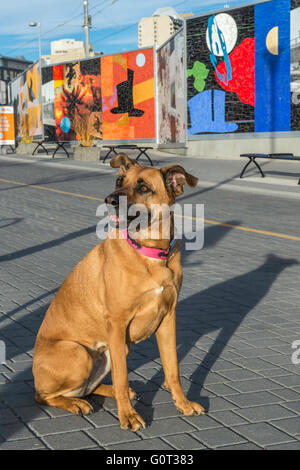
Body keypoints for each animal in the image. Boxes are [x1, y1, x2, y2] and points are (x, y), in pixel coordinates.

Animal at [32, 153, 205, 430]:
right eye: (119, 181)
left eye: (144, 188)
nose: (110, 200)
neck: (150, 253)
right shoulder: (117, 323)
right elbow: (122, 377)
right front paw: (129, 416)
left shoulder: (168, 319)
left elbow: (173, 370)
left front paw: (183, 404)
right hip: (80, 353)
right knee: (44, 396)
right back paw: (76, 404)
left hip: (110, 352)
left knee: (87, 387)